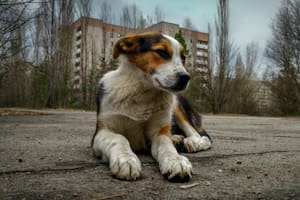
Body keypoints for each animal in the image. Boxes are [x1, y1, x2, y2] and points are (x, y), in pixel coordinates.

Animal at [91, 32, 211, 182]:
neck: (143, 93)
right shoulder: (102, 131)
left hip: (176, 105)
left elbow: (166, 146)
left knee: (203, 137)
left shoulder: (159, 132)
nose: (185, 77)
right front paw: (126, 159)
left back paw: (193, 142)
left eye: (183, 58)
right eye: (162, 52)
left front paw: (175, 160)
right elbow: (119, 138)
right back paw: (177, 139)